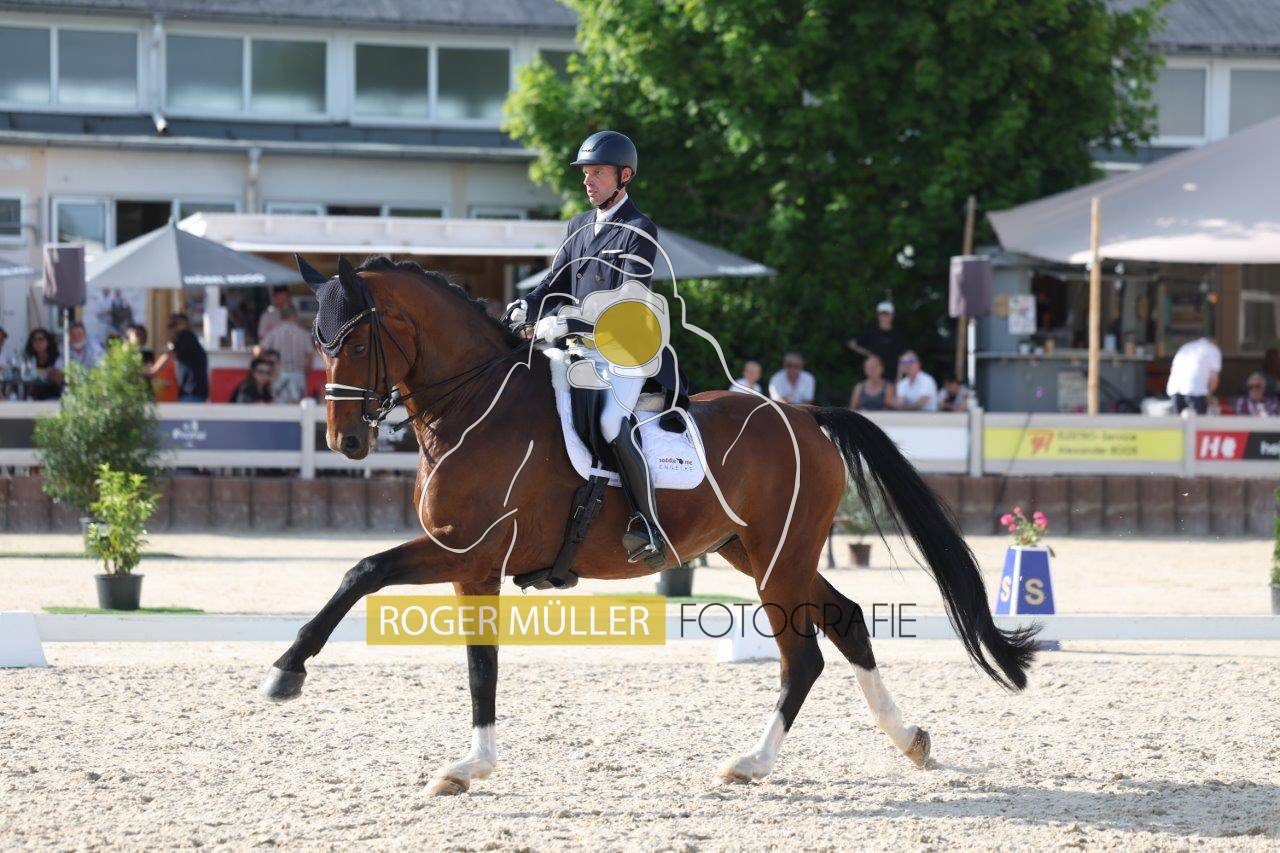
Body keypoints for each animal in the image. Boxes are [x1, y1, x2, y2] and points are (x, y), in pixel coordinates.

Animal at [259, 255, 1037, 794]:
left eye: (356, 343)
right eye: (319, 341)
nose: (344, 441)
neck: (473, 405)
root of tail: (805, 414)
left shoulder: (466, 551)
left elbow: (367, 575)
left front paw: (288, 670)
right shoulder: (470, 566)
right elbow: (475, 661)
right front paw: (469, 765)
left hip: (776, 560)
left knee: (804, 655)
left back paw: (751, 762)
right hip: (757, 554)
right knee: (844, 622)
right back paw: (910, 740)